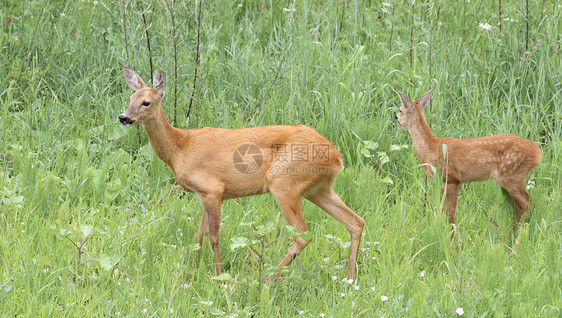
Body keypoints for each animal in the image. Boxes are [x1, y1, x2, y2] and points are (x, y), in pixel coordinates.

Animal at [117, 66, 364, 280]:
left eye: (146, 102)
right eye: (129, 99)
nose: (123, 117)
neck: (179, 148)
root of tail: (337, 156)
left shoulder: (213, 189)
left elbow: (214, 237)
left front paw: (219, 279)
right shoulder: (204, 194)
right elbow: (199, 233)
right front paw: (193, 271)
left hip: (284, 182)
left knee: (303, 234)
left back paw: (267, 279)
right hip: (318, 189)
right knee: (356, 221)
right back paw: (349, 278)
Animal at [394, 88, 540, 247]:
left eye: (400, 109)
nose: (396, 117)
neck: (430, 148)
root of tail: (537, 151)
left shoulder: (452, 178)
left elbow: (451, 214)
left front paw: (453, 245)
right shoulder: (442, 182)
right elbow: (441, 211)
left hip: (511, 174)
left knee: (528, 204)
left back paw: (516, 244)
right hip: (508, 180)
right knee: (517, 208)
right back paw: (509, 240)